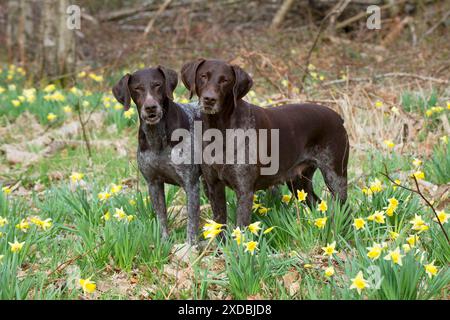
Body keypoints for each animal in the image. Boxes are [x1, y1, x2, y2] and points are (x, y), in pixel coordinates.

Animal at [112, 66, 200, 244]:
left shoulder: (191, 184)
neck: (157, 138)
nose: (150, 107)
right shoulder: (153, 183)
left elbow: (192, 223)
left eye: (158, 85)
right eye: (137, 88)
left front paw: (190, 248)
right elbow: (162, 219)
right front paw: (164, 244)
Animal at [181, 58, 350, 228]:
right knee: (318, 204)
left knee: (344, 210)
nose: (209, 99)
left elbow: (240, 229)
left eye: (225, 80)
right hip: (299, 183)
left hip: (336, 178)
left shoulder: (244, 190)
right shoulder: (213, 187)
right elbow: (220, 226)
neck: (219, 129)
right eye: (203, 76)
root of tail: (338, 118)